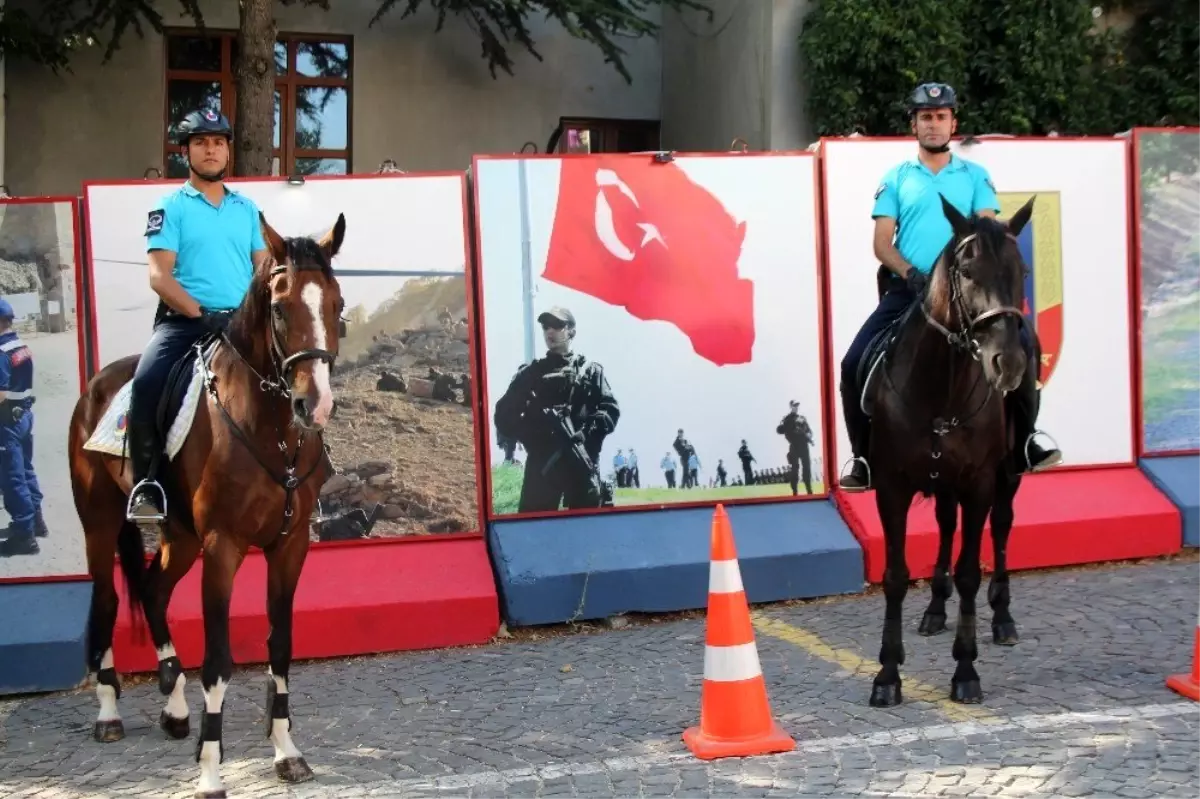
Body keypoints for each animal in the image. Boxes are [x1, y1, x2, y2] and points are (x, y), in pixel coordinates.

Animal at [69, 208, 345, 791]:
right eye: (280, 309)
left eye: (336, 305)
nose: (314, 405)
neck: (270, 429)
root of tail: (95, 386)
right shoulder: (223, 546)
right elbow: (218, 661)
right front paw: (212, 773)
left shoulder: (288, 548)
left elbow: (280, 648)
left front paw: (286, 751)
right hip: (101, 525)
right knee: (105, 601)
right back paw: (108, 713)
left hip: (181, 538)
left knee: (153, 591)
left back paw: (174, 709)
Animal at [864, 195, 1032, 705]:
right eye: (968, 271)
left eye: (1022, 271)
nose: (1007, 363)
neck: (941, 385)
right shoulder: (891, 486)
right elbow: (895, 576)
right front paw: (887, 676)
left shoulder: (978, 482)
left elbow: (970, 573)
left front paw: (965, 671)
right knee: (943, 525)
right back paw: (935, 610)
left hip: (1005, 476)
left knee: (1001, 527)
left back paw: (1003, 619)